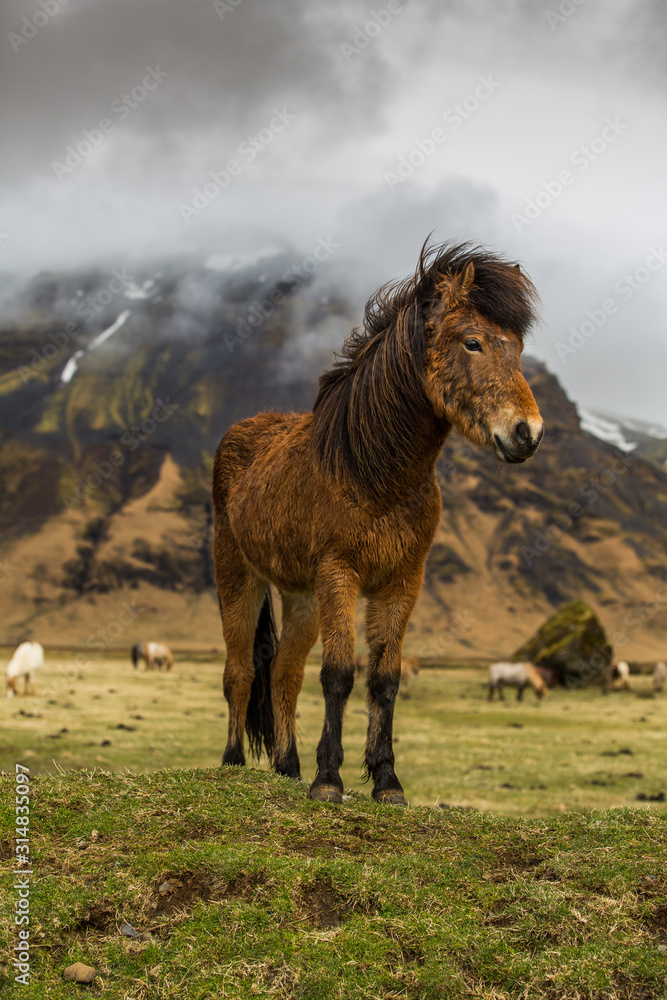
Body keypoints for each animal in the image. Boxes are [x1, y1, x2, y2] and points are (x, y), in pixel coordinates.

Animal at [212, 241, 543, 805]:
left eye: (518, 349)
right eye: (473, 342)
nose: (528, 433)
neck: (374, 470)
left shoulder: (402, 581)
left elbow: (384, 679)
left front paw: (387, 781)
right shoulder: (339, 574)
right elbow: (339, 674)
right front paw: (328, 778)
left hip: (301, 598)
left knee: (283, 676)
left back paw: (286, 767)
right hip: (238, 577)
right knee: (239, 672)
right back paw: (234, 762)